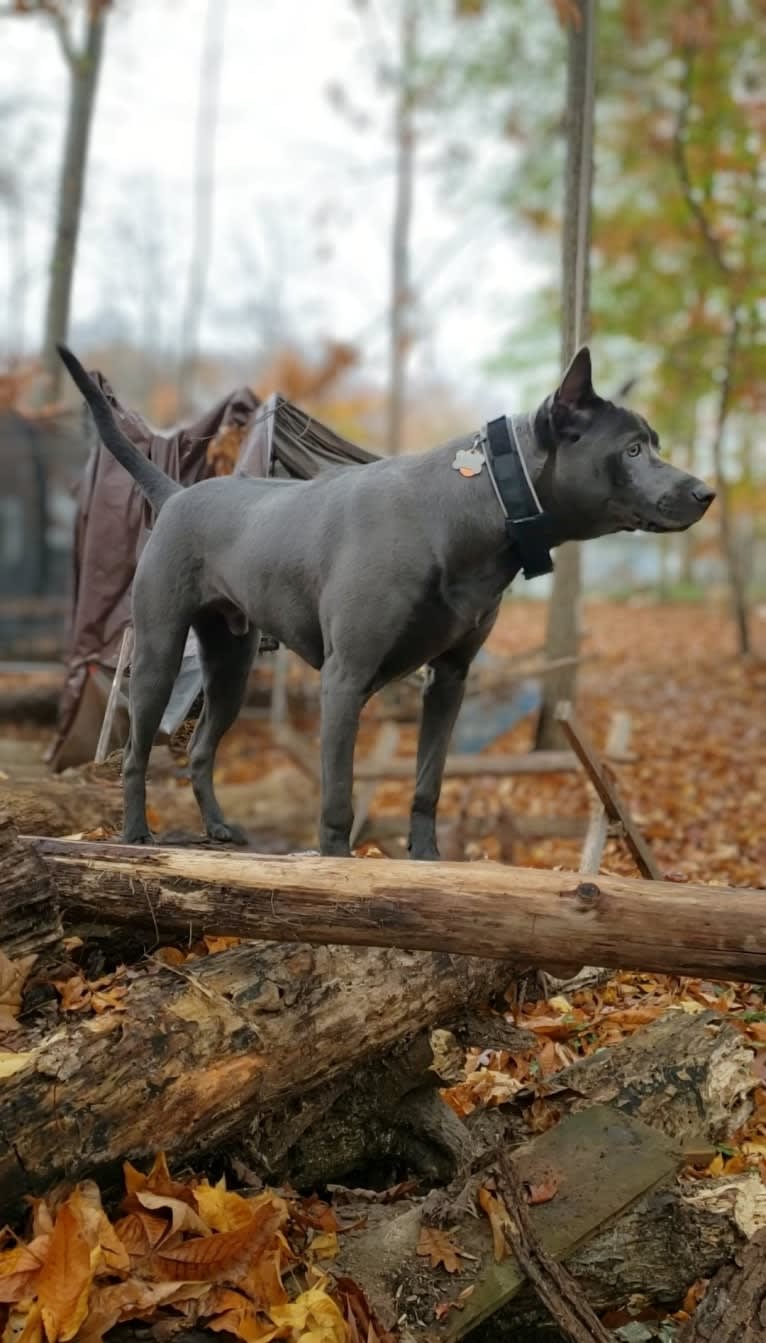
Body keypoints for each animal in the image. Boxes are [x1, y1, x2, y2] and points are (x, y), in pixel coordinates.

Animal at [58, 341, 709, 854]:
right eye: (632, 449)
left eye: (652, 443)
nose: (706, 493)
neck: (479, 504)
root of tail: (174, 494)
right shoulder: (345, 677)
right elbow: (338, 802)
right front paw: (341, 875)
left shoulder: (449, 678)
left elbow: (427, 784)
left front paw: (426, 863)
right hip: (159, 652)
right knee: (136, 752)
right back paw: (135, 835)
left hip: (232, 666)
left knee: (198, 751)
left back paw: (217, 828)